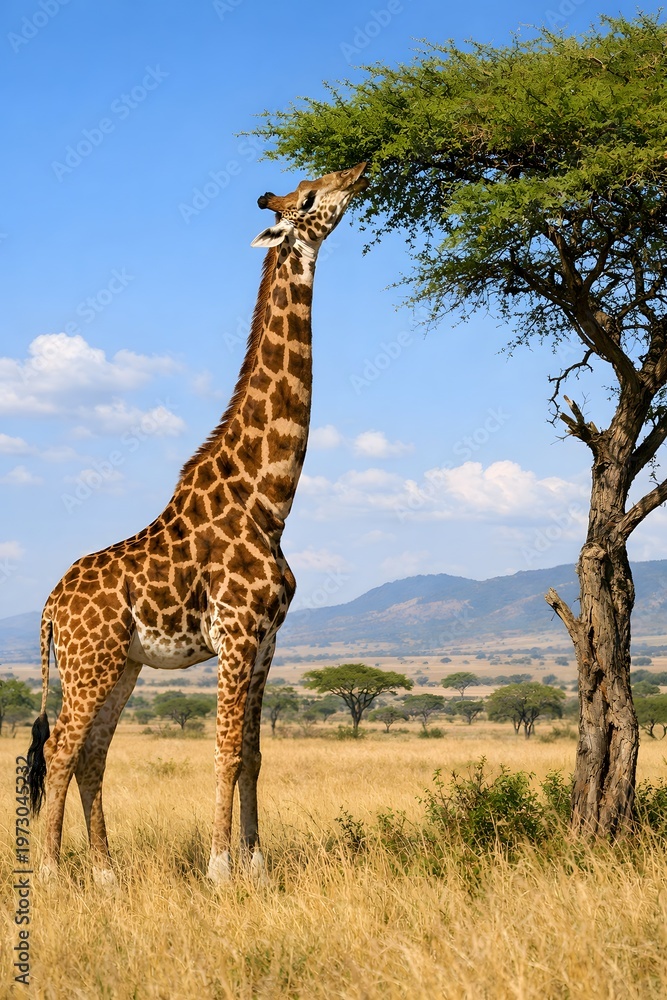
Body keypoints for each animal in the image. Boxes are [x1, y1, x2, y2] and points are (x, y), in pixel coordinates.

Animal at [26, 161, 368, 885]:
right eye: (309, 198)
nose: (358, 173)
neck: (270, 501)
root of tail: (47, 608)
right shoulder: (236, 634)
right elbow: (224, 751)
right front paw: (218, 869)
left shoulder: (267, 642)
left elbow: (254, 755)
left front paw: (258, 867)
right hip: (90, 662)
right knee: (63, 747)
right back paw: (49, 872)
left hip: (121, 665)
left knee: (92, 752)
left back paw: (107, 875)